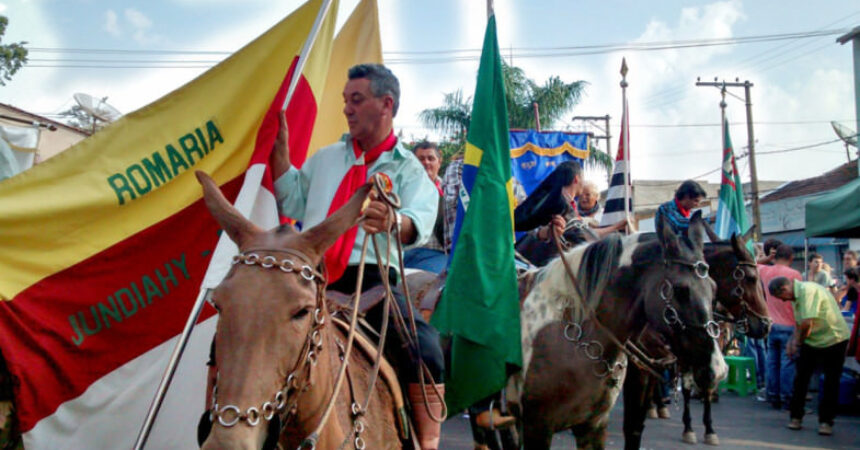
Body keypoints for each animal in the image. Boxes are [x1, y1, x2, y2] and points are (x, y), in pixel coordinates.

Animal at [516, 212, 724, 450]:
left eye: (714, 288)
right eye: (681, 290)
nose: (718, 370)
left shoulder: (593, 426)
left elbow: (633, 429)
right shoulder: (537, 427)